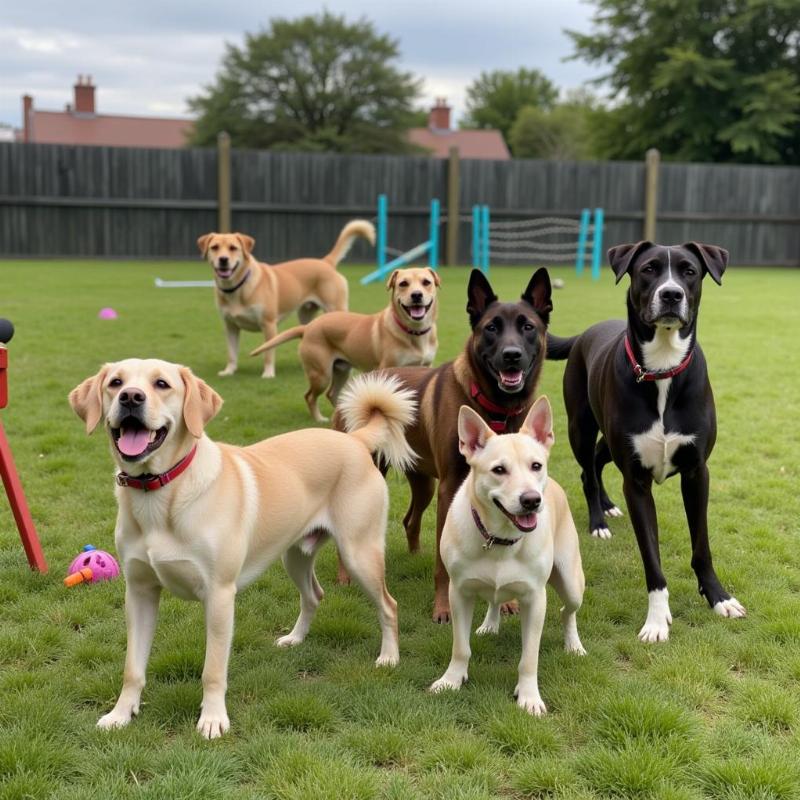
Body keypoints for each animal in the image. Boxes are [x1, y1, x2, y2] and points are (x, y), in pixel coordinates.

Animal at [69, 360, 416, 740]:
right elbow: (132, 667)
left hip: (359, 555)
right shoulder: (140, 592)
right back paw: (295, 638)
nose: (131, 397)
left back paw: (389, 657)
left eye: (162, 384)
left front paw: (212, 719)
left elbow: (213, 669)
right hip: (294, 556)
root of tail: (353, 440)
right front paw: (121, 714)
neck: (160, 494)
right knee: (314, 595)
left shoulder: (220, 595)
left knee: (389, 605)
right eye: (116, 383)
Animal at [198, 220, 376, 380]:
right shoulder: (230, 327)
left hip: (335, 309)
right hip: (306, 315)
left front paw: (268, 373)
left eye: (233, 248)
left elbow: (268, 353)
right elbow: (232, 353)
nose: (223, 259)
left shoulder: (269, 324)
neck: (238, 288)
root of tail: (325, 262)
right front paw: (229, 371)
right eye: (214, 247)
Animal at [250, 268, 440, 422]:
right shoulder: (389, 370)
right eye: (403, 284)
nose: (416, 295)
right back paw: (320, 419)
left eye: (426, 282)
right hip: (321, 374)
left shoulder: (424, 367)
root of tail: (309, 326)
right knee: (310, 396)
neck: (414, 333)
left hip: (341, 370)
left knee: (332, 394)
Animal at [432, 396, 588, 716]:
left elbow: (529, 658)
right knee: (495, 597)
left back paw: (574, 645)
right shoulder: (458, 592)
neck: (500, 539)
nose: (531, 500)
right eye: (499, 470)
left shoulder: (535, 599)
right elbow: (460, 646)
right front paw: (452, 680)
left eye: (535, 465)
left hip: (570, 582)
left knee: (568, 611)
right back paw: (490, 624)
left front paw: (529, 697)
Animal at [552, 241, 744, 640]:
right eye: (649, 269)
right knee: (586, 471)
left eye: (689, 271)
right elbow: (651, 559)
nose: (671, 294)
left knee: (597, 461)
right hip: (580, 426)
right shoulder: (636, 482)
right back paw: (598, 521)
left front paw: (719, 597)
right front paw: (656, 620)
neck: (662, 366)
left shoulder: (697, 472)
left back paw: (607, 505)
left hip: (610, 443)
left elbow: (702, 545)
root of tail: (584, 333)